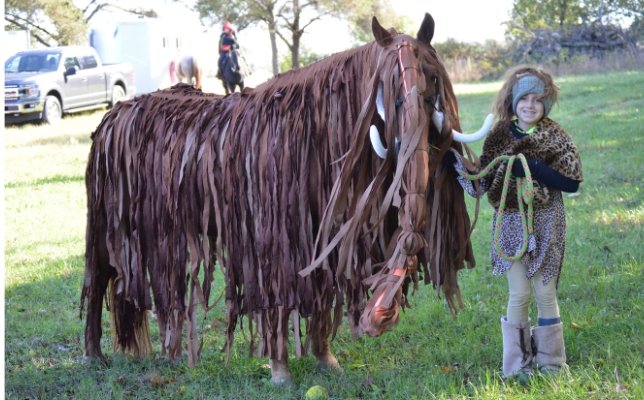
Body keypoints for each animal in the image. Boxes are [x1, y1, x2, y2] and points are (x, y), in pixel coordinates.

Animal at [81, 14, 491, 385]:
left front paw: (326, 358)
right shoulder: (272, 237)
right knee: (98, 279)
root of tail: (112, 116)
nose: (379, 317)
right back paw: (94, 355)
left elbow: (321, 293)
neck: (318, 132)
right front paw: (280, 370)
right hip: (105, 226)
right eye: (387, 87)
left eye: (433, 79)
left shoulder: (321, 231)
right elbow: (278, 298)